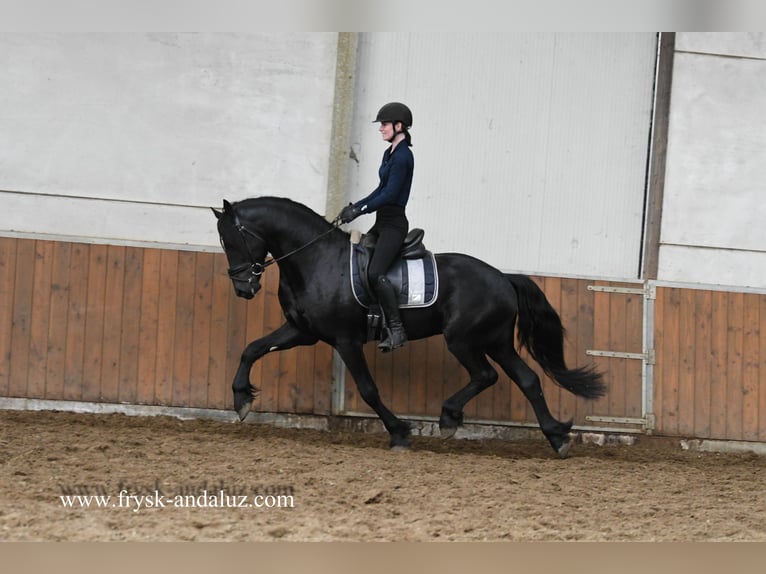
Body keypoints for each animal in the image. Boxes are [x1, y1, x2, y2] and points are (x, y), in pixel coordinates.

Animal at [212, 196, 606, 458]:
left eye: (233, 239)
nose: (243, 288)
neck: (316, 260)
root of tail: (503, 278)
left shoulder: (344, 340)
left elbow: (368, 390)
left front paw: (399, 432)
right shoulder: (303, 332)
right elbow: (252, 348)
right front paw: (241, 399)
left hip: (463, 340)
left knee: (486, 375)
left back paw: (449, 419)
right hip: (495, 341)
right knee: (527, 379)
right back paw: (556, 436)